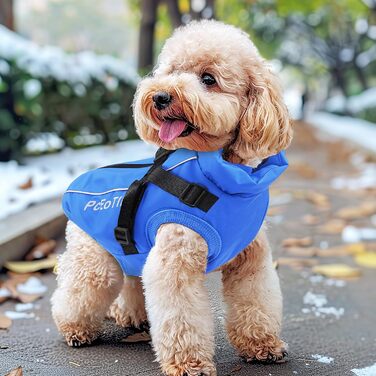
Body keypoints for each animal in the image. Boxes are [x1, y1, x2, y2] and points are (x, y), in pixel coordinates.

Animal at [52, 20, 294, 376]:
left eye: (208, 79)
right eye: (171, 70)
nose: (160, 96)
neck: (224, 176)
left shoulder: (251, 259)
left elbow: (255, 301)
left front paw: (261, 345)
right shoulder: (176, 260)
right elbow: (181, 316)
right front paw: (189, 363)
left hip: (133, 255)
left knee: (131, 282)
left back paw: (131, 317)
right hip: (95, 259)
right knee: (77, 291)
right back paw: (75, 329)